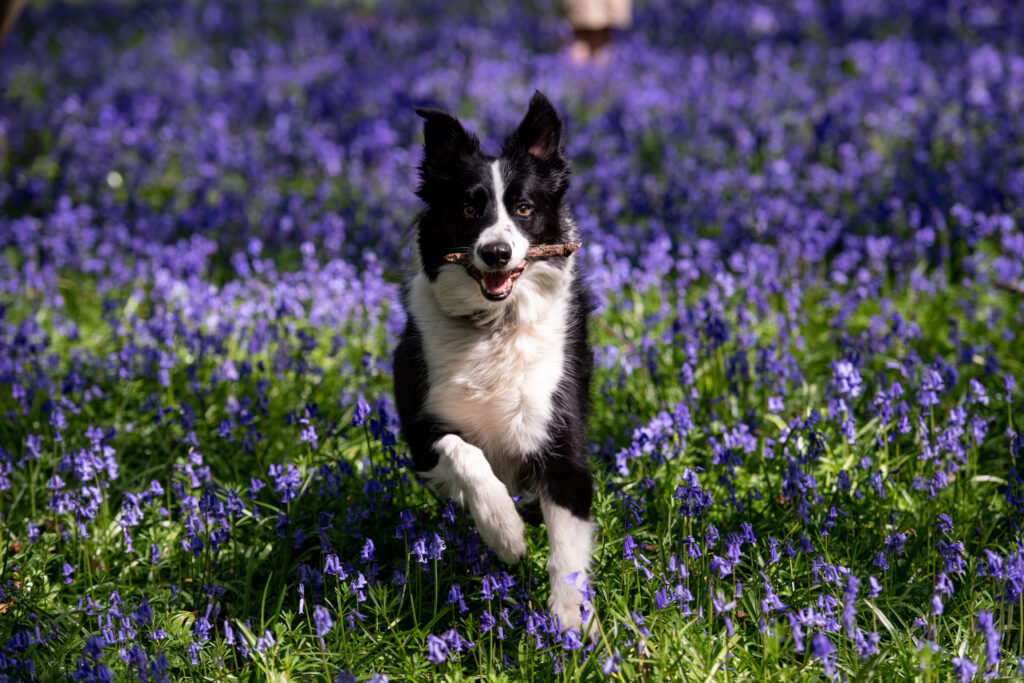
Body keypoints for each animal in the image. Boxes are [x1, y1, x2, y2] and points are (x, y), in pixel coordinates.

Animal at [393, 92, 598, 634]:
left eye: (524, 207)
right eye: (469, 208)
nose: (497, 252)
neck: (494, 327)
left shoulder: (560, 441)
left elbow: (567, 548)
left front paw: (571, 623)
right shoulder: (421, 431)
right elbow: (465, 454)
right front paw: (504, 532)